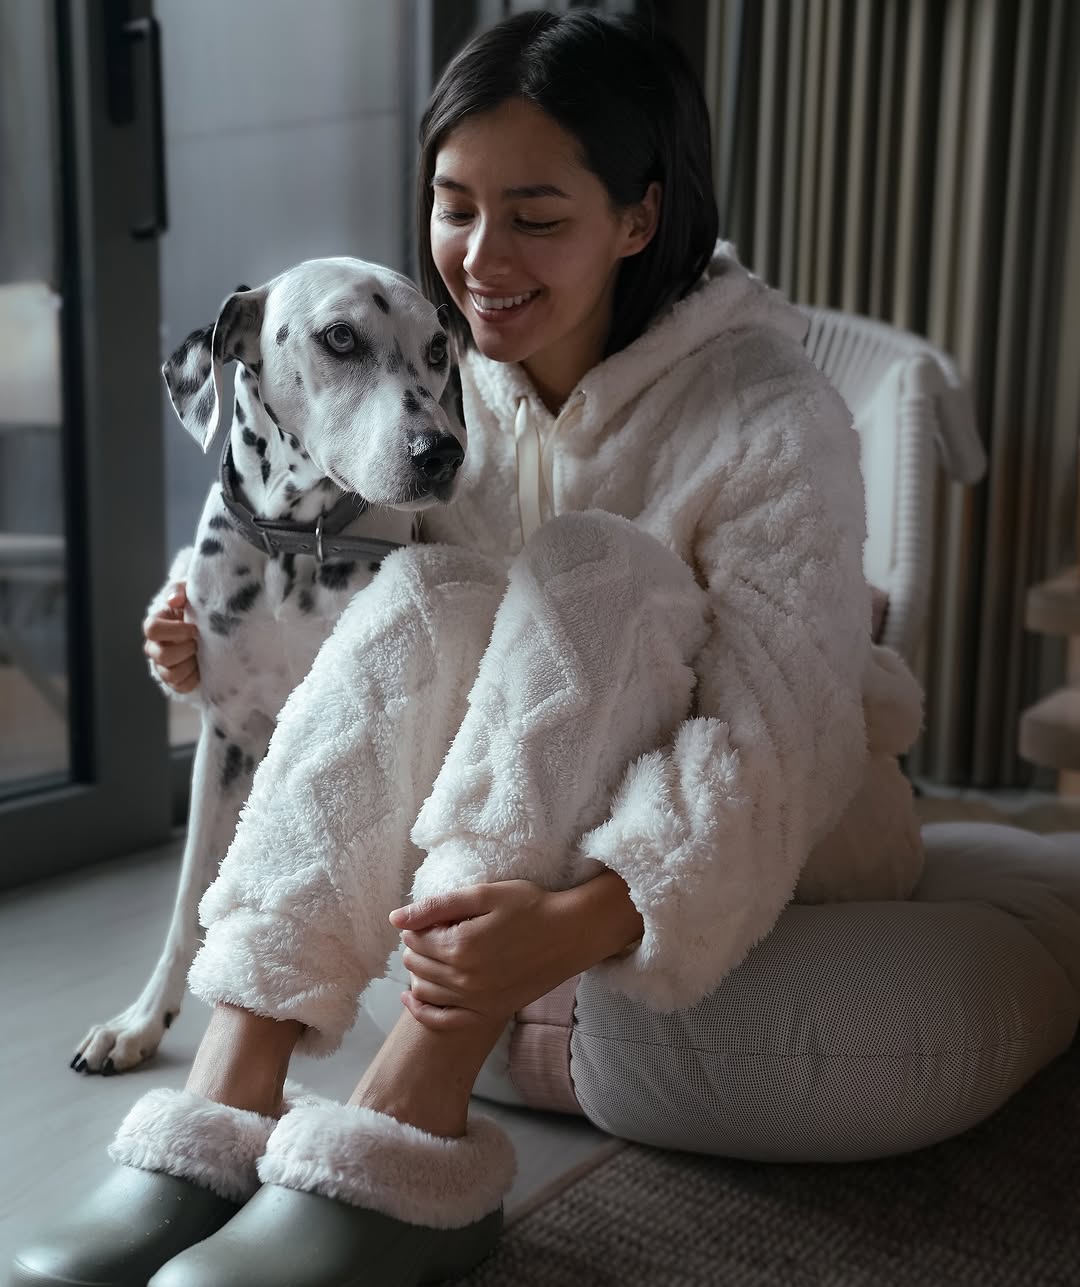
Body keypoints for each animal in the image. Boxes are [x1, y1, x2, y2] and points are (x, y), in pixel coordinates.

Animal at [69, 258, 465, 1075]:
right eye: (340, 337)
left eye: (438, 349)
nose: (441, 452)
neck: (294, 542)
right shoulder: (225, 741)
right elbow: (187, 901)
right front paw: (142, 1021)